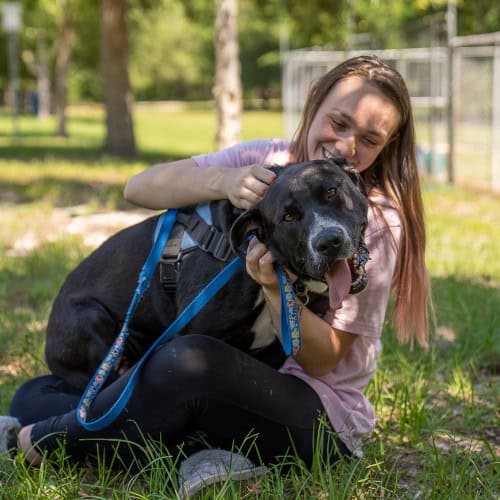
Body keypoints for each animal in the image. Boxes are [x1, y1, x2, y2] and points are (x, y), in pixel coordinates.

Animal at [46, 158, 368, 388]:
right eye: (288, 217)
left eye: (332, 191)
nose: (328, 241)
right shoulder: (194, 337)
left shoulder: (275, 352)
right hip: (90, 317)